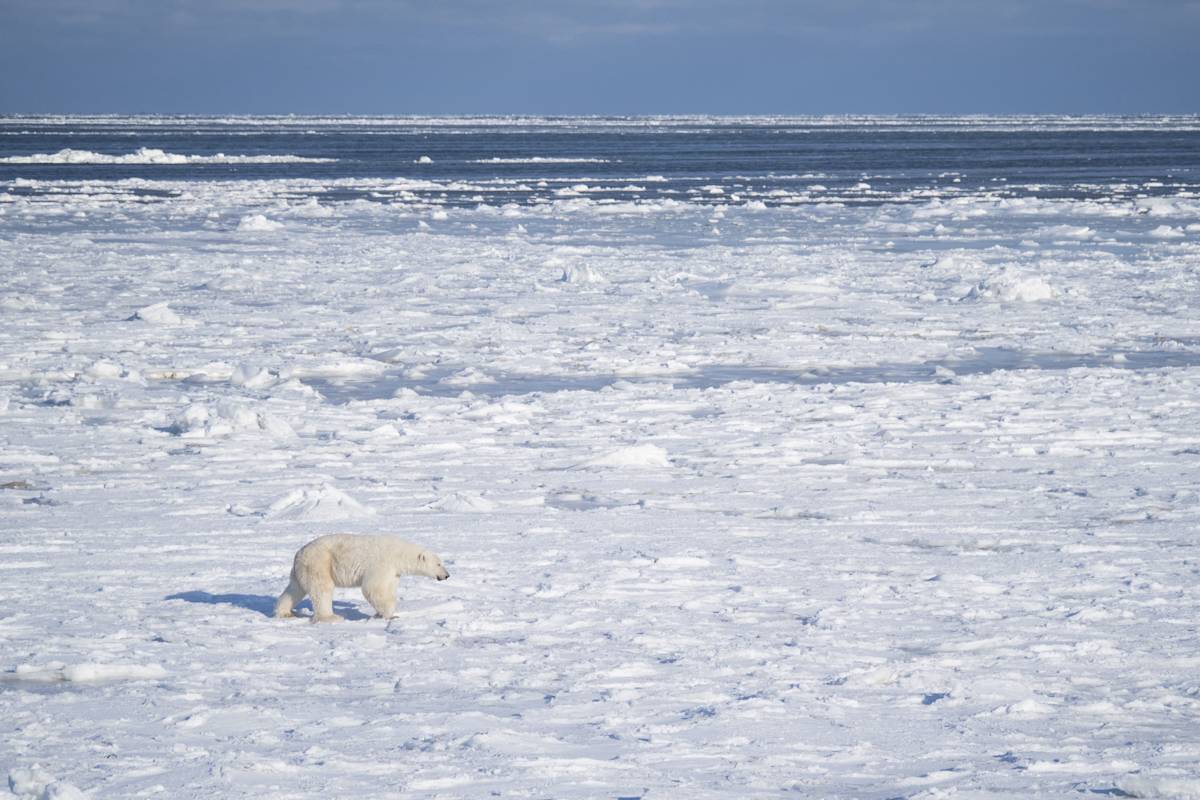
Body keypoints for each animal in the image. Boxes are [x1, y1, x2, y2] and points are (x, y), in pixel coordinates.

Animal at [274, 534, 451, 623]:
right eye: (439, 563)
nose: (447, 575)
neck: (399, 554)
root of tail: (299, 554)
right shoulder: (381, 564)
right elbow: (373, 588)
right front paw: (390, 615)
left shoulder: (393, 572)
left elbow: (388, 589)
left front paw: (379, 614)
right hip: (320, 562)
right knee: (322, 589)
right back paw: (331, 617)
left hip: (302, 569)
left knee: (295, 589)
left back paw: (284, 613)